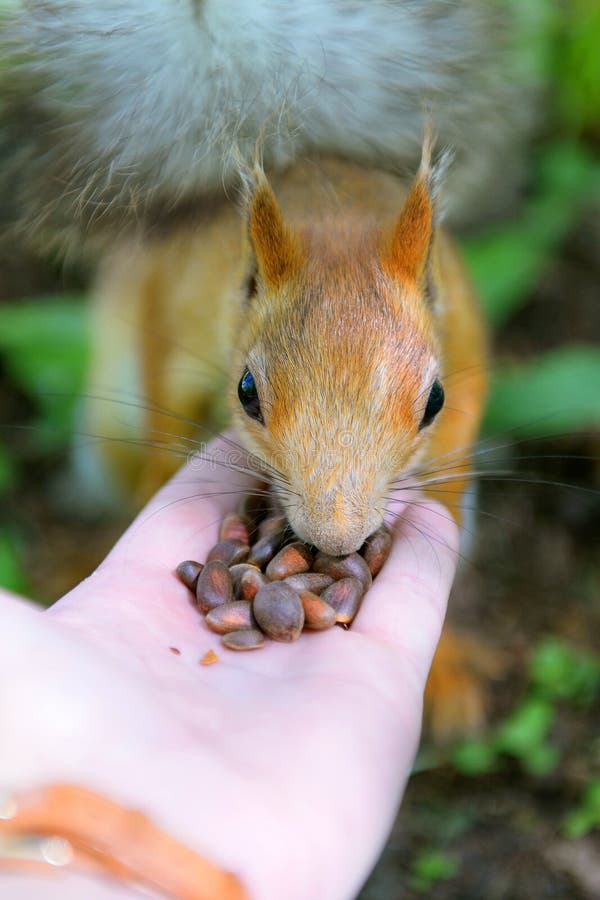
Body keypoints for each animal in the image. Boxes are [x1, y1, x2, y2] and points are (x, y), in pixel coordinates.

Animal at [1, 0, 524, 737]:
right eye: (247, 392)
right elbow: (165, 418)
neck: (334, 219)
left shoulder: (467, 350)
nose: (334, 537)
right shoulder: (176, 313)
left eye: (434, 401)